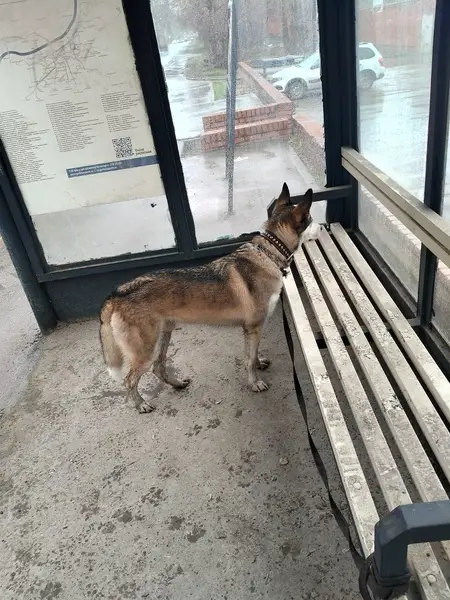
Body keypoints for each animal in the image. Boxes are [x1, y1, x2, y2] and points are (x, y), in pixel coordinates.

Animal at [100, 183, 320, 413]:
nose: (322, 227)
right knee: (130, 379)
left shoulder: (253, 329)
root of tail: (118, 293)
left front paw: (259, 363)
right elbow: (249, 360)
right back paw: (140, 403)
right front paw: (255, 383)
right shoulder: (254, 326)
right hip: (145, 350)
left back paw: (177, 384)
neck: (268, 253)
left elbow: (253, 353)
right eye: (311, 219)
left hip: (163, 336)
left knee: (158, 368)